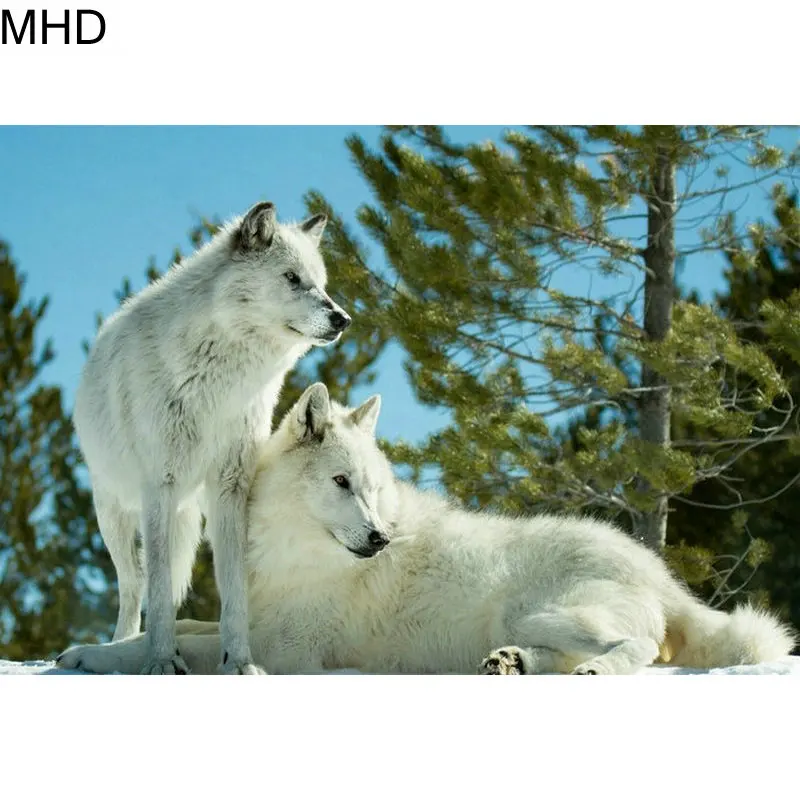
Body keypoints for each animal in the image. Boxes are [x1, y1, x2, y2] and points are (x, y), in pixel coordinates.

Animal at [59, 383, 795, 675]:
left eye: (373, 488)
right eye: (343, 483)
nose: (380, 539)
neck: (293, 550)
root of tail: (660, 574)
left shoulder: (290, 649)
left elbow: (181, 645)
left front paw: (94, 656)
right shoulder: (254, 619)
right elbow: (182, 626)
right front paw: (97, 647)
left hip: (548, 611)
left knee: (638, 649)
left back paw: (591, 672)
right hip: (528, 622)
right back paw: (510, 666)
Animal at [69, 204, 351, 675]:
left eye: (322, 283)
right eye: (292, 278)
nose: (342, 319)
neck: (220, 379)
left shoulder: (231, 487)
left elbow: (233, 589)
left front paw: (239, 662)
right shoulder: (159, 487)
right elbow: (157, 592)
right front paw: (162, 661)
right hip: (114, 513)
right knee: (133, 587)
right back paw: (119, 647)